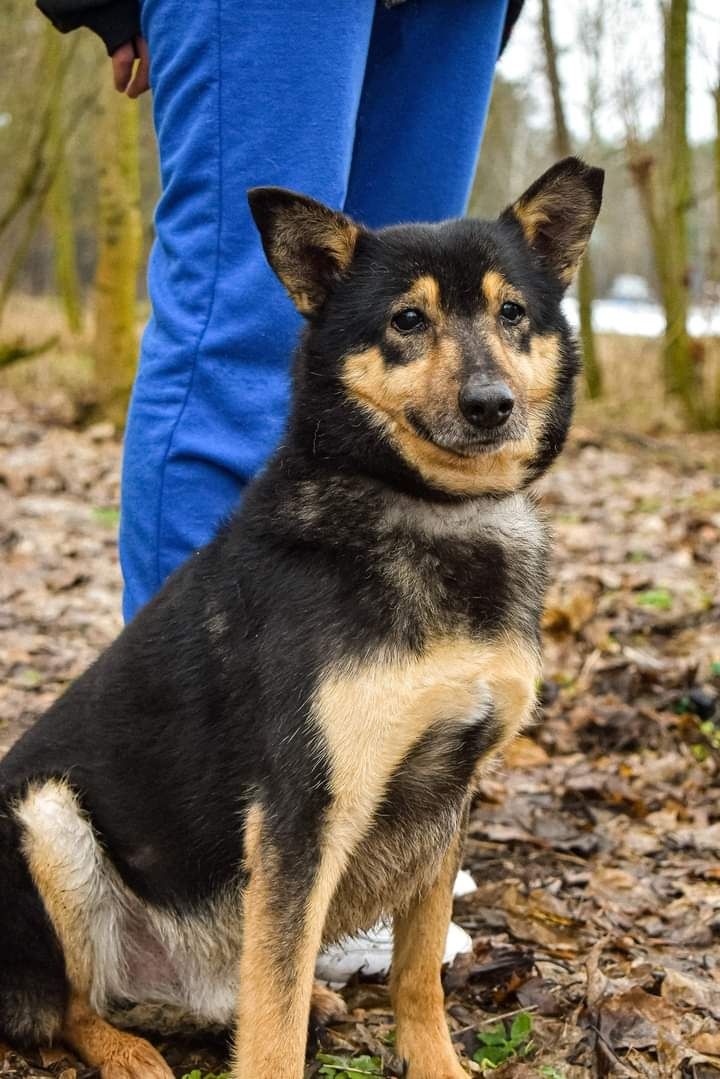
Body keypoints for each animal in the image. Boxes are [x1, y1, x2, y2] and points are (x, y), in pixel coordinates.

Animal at [0, 156, 604, 1074]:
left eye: (512, 313)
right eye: (407, 320)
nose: (491, 403)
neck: (433, 511)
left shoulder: (448, 792)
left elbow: (418, 973)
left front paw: (436, 1062)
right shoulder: (301, 814)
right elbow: (274, 1022)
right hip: (46, 817)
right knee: (70, 1003)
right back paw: (123, 1049)